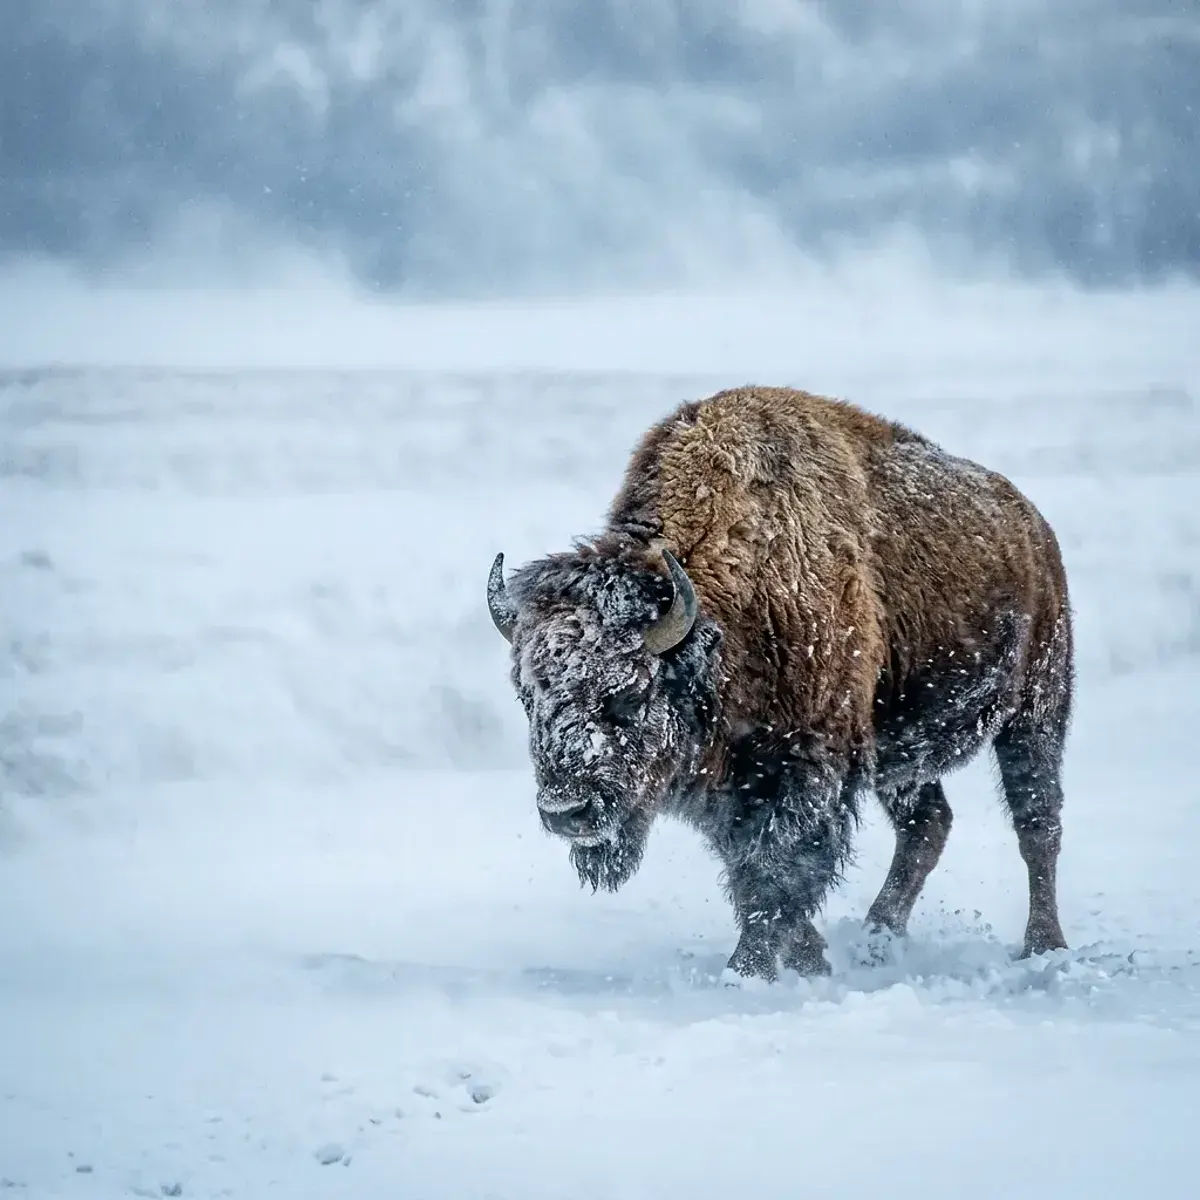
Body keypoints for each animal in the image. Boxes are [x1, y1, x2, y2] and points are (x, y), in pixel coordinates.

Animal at [487, 387, 1073, 981]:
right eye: (527, 696)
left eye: (631, 693)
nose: (566, 813)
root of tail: (1034, 525)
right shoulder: (734, 781)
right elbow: (750, 874)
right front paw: (811, 960)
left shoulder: (802, 766)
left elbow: (775, 870)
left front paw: (749, 971)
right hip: (901, 754)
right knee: (928, 824)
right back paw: (876, 940)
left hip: (1038, 706)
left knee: (1037, 822)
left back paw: (1043, 946)